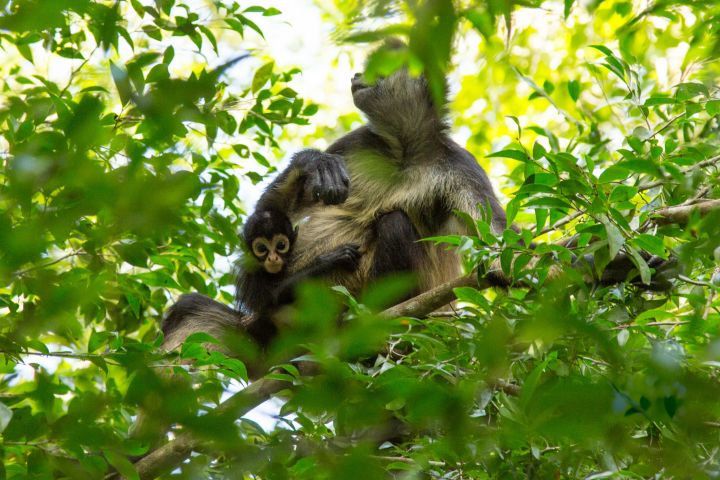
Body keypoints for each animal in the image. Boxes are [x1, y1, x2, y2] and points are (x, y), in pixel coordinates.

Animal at [235, 208, 360, 346]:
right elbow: (273, 298)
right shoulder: (251, 271)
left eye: (281, 245)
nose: (272, 258)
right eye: (262, 248)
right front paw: (328, 260)